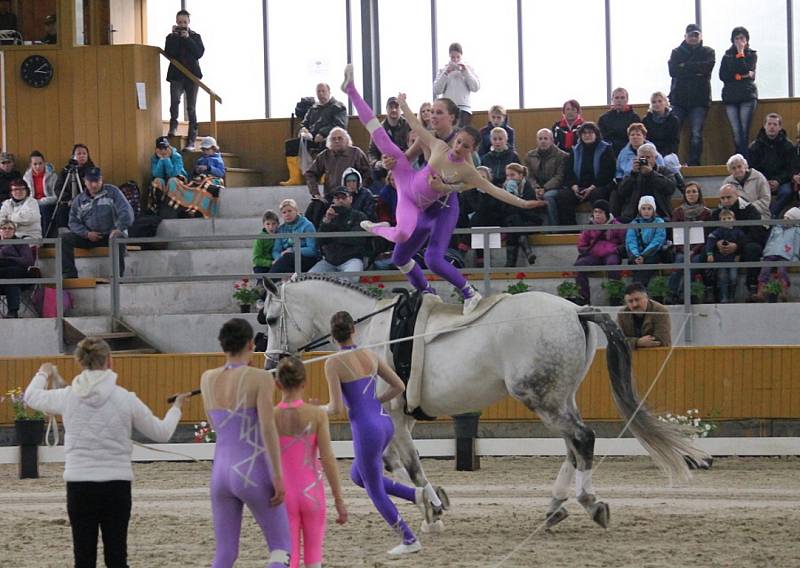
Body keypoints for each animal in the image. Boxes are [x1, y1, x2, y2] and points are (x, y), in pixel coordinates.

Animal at [262, 276, 708, 528]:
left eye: (268, 318)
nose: (270, 364)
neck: (369, 329)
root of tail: (576, 310)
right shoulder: (402, 417)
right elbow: (388, 463)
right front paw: (435, 499)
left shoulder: (393, 412)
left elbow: (409, 464)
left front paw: (432, 505)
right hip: (559, 396)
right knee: (573, 444)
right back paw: (555, 507)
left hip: (539, 397)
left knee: (583, 438)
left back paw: (588, 502)